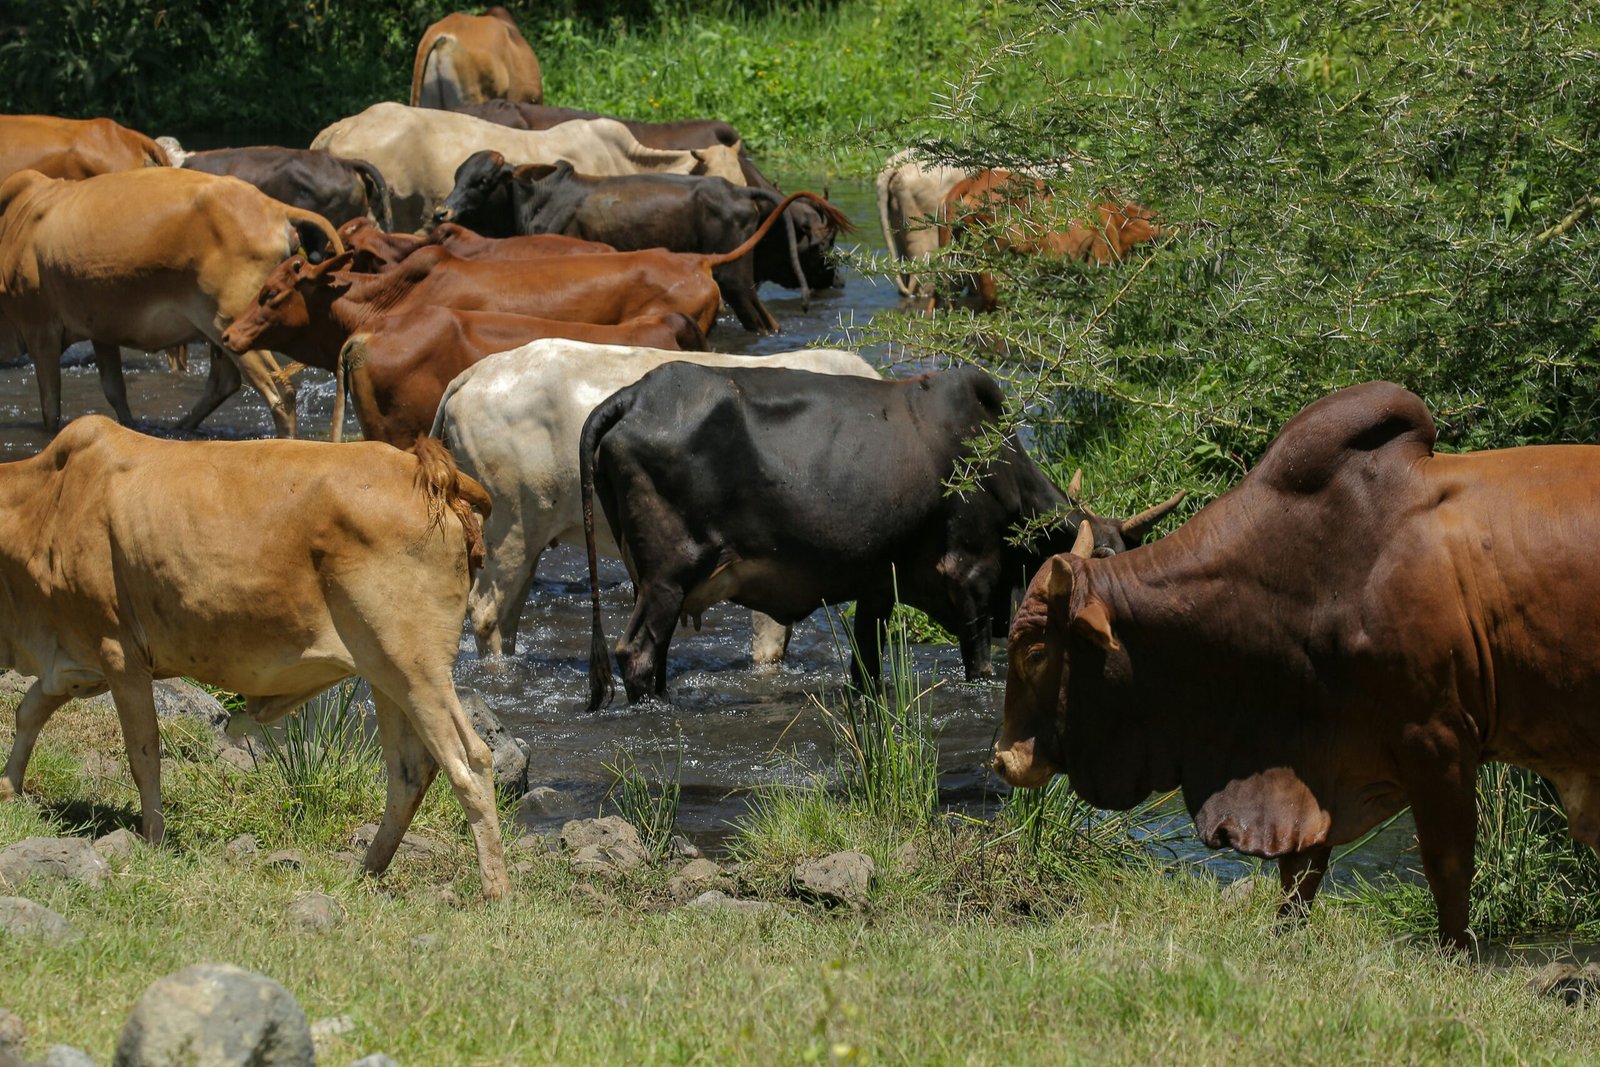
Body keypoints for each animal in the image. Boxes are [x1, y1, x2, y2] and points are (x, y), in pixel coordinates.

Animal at [0, 167, 342, 436]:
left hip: (233, 321)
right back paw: (179, 428)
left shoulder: (40, 329)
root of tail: (274, 208)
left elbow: (50, 408)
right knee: (224, 382)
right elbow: (115, 391)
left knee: (280, 392)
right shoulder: (101, 331)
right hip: (218, 328)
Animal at [0, 417, 509, 899]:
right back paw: (368, 870)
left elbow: (143, 755)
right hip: (385, 673)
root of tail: (429, 475)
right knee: (409, 772)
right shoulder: (71, 663)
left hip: (417, 668)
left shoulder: (120, 653)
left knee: (470, 760)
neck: (44, 503)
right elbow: (28, 712)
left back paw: (495, 890)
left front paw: (153, 839)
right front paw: (8, 787)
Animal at [435, 157, 817, 331]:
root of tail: (737, 189)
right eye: (456, 176)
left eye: (484, 180)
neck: (535, 201)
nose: (442, 211)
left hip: (735, 281)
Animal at [579, 363, 1183, 707]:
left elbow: (865, 671)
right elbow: (980, 664)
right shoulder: (970, 575)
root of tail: (635, 395)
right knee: (637, 654)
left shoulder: (876, 589)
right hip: (668, 577)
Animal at [990, 380, 1600, 950]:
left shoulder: (1440, 740)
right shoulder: (1308, 765)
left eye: (1037, 652)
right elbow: (1299, 876)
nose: (1002, 759)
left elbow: (1447, 871)